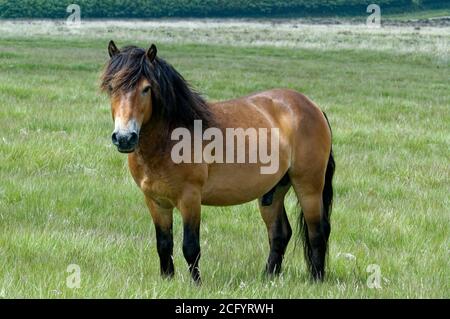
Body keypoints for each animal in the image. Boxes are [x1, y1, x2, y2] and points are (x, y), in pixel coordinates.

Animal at [101, 41, 334, 284]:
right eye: (111, 87)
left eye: (146, 88)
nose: (125, 138)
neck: (169, 140)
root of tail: (312, 106)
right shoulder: (155, 202)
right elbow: (164, 245)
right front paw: (167, 280)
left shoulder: (190, 199)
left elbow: (190, 247)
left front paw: (196, 284)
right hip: (274, 190)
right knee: (280, 233)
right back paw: (268, 278)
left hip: (308, 186)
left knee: (317, 231)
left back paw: (316, 279)